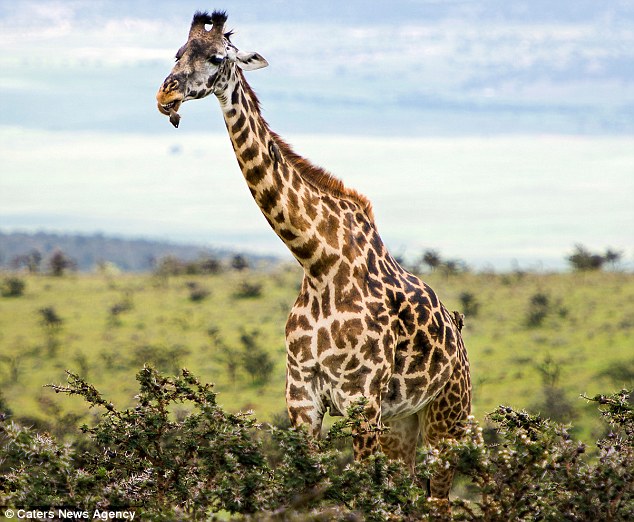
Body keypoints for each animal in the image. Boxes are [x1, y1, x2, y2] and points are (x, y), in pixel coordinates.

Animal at [155, 9, 466, 496]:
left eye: (218, 57)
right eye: (178, 52)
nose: (166, 94)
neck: (318, 261)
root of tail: (459, 334)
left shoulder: (362, 400)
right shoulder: (301, 398)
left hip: (448, 417)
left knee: (438, 499)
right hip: (404, 422)